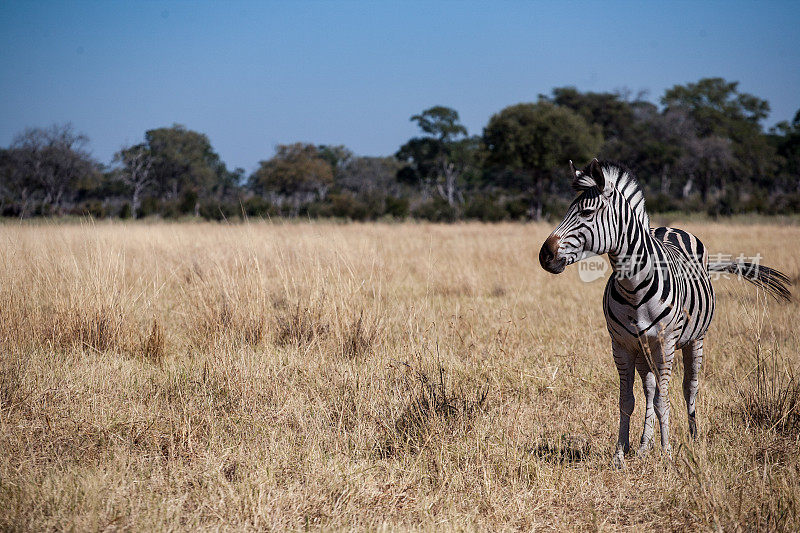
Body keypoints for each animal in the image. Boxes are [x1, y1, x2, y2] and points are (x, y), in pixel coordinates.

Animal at [540, 158, 792, 466]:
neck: (632, 287)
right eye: (567, 210)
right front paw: (621, 454)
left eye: (587, 212)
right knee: (649, 389)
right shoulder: (622, 345)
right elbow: (627, 400)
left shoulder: (665, 343)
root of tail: (671, 229)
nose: (545, 255)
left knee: (688, 387)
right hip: (643, 348)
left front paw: (667, 453)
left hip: (695, 340)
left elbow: (664, 399)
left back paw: (693, 438)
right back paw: (644, 444)